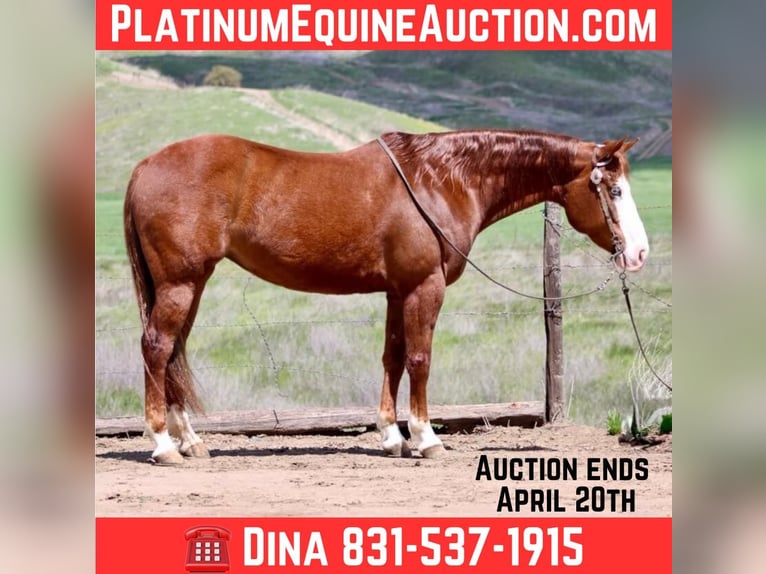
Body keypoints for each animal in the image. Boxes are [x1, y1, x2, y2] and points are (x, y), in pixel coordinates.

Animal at [123, 129, 649, 464]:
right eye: (615, 190)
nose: (640, 253)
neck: (441, 180)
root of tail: (144, 167)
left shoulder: (398, 292)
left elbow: (392, 357)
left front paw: (391, 437)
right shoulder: (423, 288)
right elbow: (419, 359)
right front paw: (425, 438)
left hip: (190, 285)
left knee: (174, 353)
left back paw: (191, 441)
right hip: (180, 284)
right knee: (157, 348)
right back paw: (164, 446)